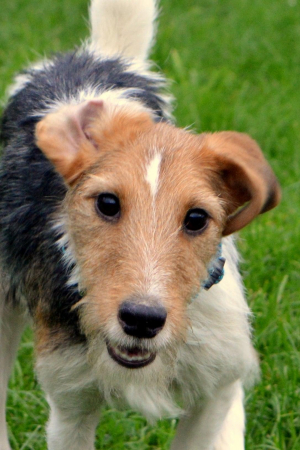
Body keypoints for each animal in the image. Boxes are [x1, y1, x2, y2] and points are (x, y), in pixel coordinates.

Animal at [0, 0, 282, 450]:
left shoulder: (212, 388)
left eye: (197, 218)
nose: (142, 319)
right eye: (107, 203)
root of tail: (99, 56)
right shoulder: (71, 402)